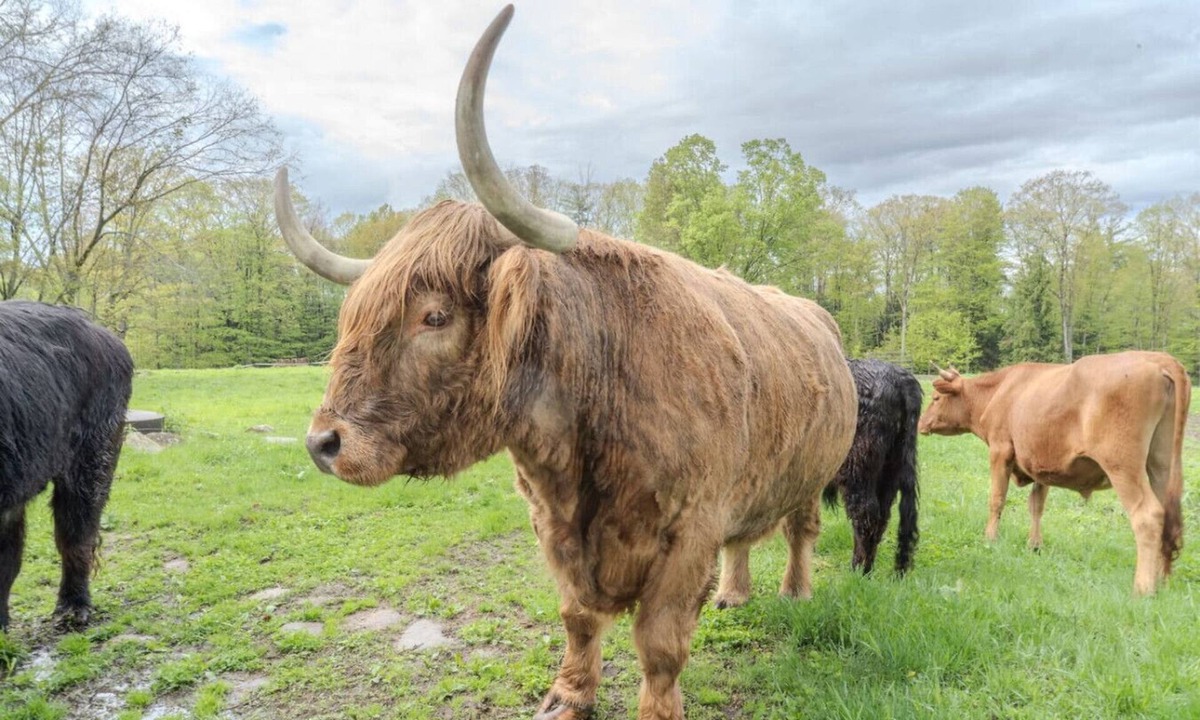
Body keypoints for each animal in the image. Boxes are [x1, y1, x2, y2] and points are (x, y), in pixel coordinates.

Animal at [273, 7, 857, 719]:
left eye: (434, 316)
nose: (322, 443)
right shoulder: (553, 526)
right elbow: (578, 617)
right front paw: (568, 696)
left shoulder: (690, 529)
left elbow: (660, 643)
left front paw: (656, 709)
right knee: (744, 541)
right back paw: (733, 593)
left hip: (813, 470)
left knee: (802, 530)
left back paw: (795, 592)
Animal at [822, 359, 921, 576]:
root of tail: (900, 377)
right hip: (891, 469)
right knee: (882, 517)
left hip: (858, 470)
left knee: (866, 515)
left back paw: (858, 571)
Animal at [917, 352, 1190, 595]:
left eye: (936, 398)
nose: (920, 424)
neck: (1001, 390)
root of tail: (1159, 358)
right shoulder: (1041, 464)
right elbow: (1036, 505)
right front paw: (1034, 545)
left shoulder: (1000, 450)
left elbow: (997, 499)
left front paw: (990, 539)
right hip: (1160, 465)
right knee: (1167, 517)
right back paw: (1160, 580)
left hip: (1123, 466)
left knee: (1148, 515)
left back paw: (1143, 588)